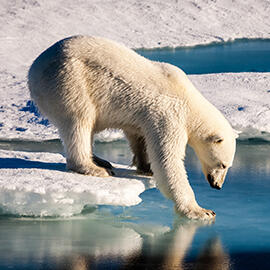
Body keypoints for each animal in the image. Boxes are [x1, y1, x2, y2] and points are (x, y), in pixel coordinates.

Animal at [28, 35, 237, 220]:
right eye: (223, 164)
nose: (217, 185)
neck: (189, 101)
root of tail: (34, 69)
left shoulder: (145, 116)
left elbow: (139, 136)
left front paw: (146, 166)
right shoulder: (169, 115)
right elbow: (168, 160)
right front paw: (201, 211)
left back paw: (100, 160)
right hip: (69, 81)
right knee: (79, 121)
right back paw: (94, 168)